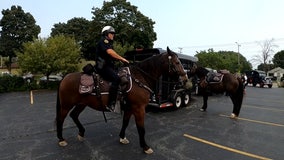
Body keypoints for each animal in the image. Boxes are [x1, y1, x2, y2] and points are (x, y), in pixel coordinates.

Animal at [56, 47, 187, 154]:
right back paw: (61, 139)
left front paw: (122, 137)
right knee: (61, 119)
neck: (140, 78)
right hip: (66, 105)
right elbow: (141, 128)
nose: (185, 79)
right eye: (177, 62)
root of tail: (65, 77)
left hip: (81, 104)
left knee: (74, 115)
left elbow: (125, 122)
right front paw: (145, 147)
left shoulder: (129, 107)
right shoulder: (139, 108)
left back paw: (81, 133)